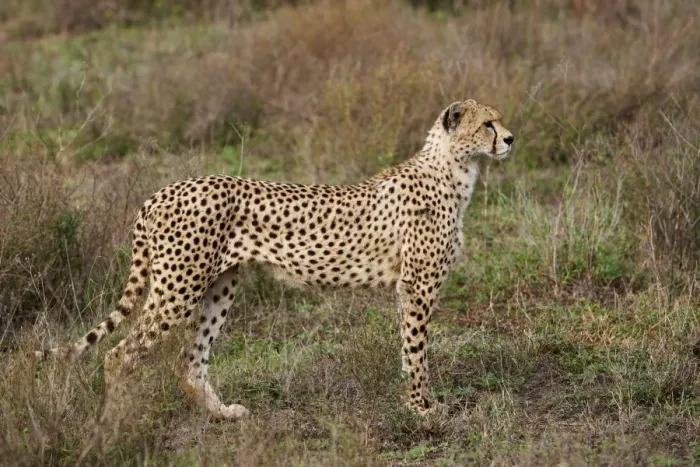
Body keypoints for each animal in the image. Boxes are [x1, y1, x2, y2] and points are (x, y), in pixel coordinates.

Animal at [37, 99, 514, 420]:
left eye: (499, 119)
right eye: (487, 123)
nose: (511, 139)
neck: (453, 169)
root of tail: (163, 190)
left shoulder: (406, 287)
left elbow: (407, 346)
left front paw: (418, 401)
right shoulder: (418, 285)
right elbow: (417, 350)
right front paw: (422, 407)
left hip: (220, 285)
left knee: (191, 360)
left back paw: (221, 414)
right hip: (178, 287)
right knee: (119, 355)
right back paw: (116, 420)